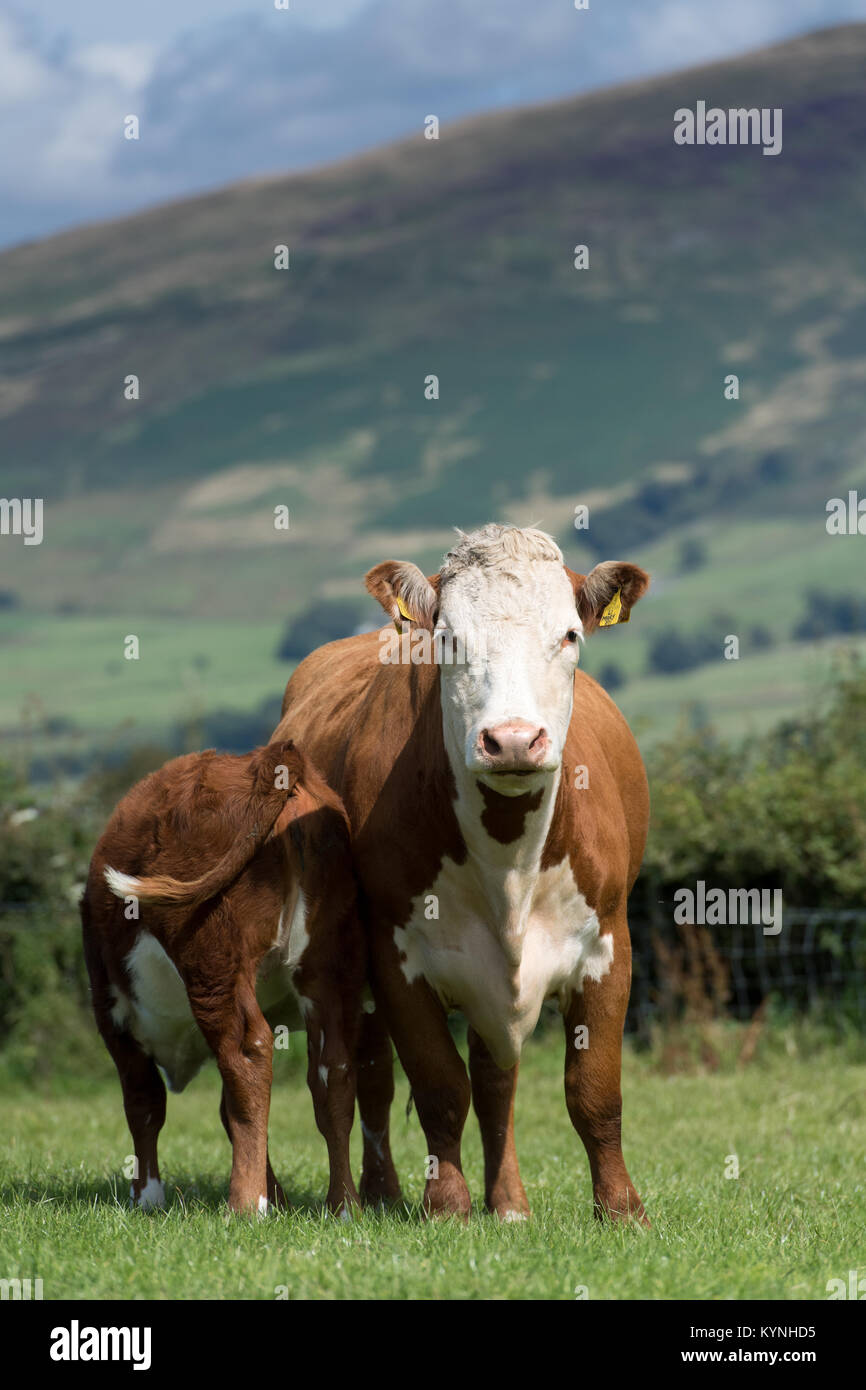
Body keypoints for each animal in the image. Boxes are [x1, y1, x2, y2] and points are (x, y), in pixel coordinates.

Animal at [80, 739, 363, 1216]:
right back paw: (344, 1205)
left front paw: (147, 1197)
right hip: (326, 965)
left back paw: (246, 1203)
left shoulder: (112, 1010)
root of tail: (268, 757)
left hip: (214, 961)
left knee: (247, 1055)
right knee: (334, 1070)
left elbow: (143, 1102)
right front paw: (279, 1197)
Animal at [272, 524, 650, 1223]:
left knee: (495, 1080)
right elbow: (439, 1085)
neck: (508, 865)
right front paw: (445, 1203)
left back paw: (509, 1203)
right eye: (448, 638)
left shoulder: (609, 944)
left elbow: (593, 1091)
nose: (512, 740)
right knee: (363, 1074)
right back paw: (374, 1193)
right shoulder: (397, 958)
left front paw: (620, 1209)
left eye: (569, 635)